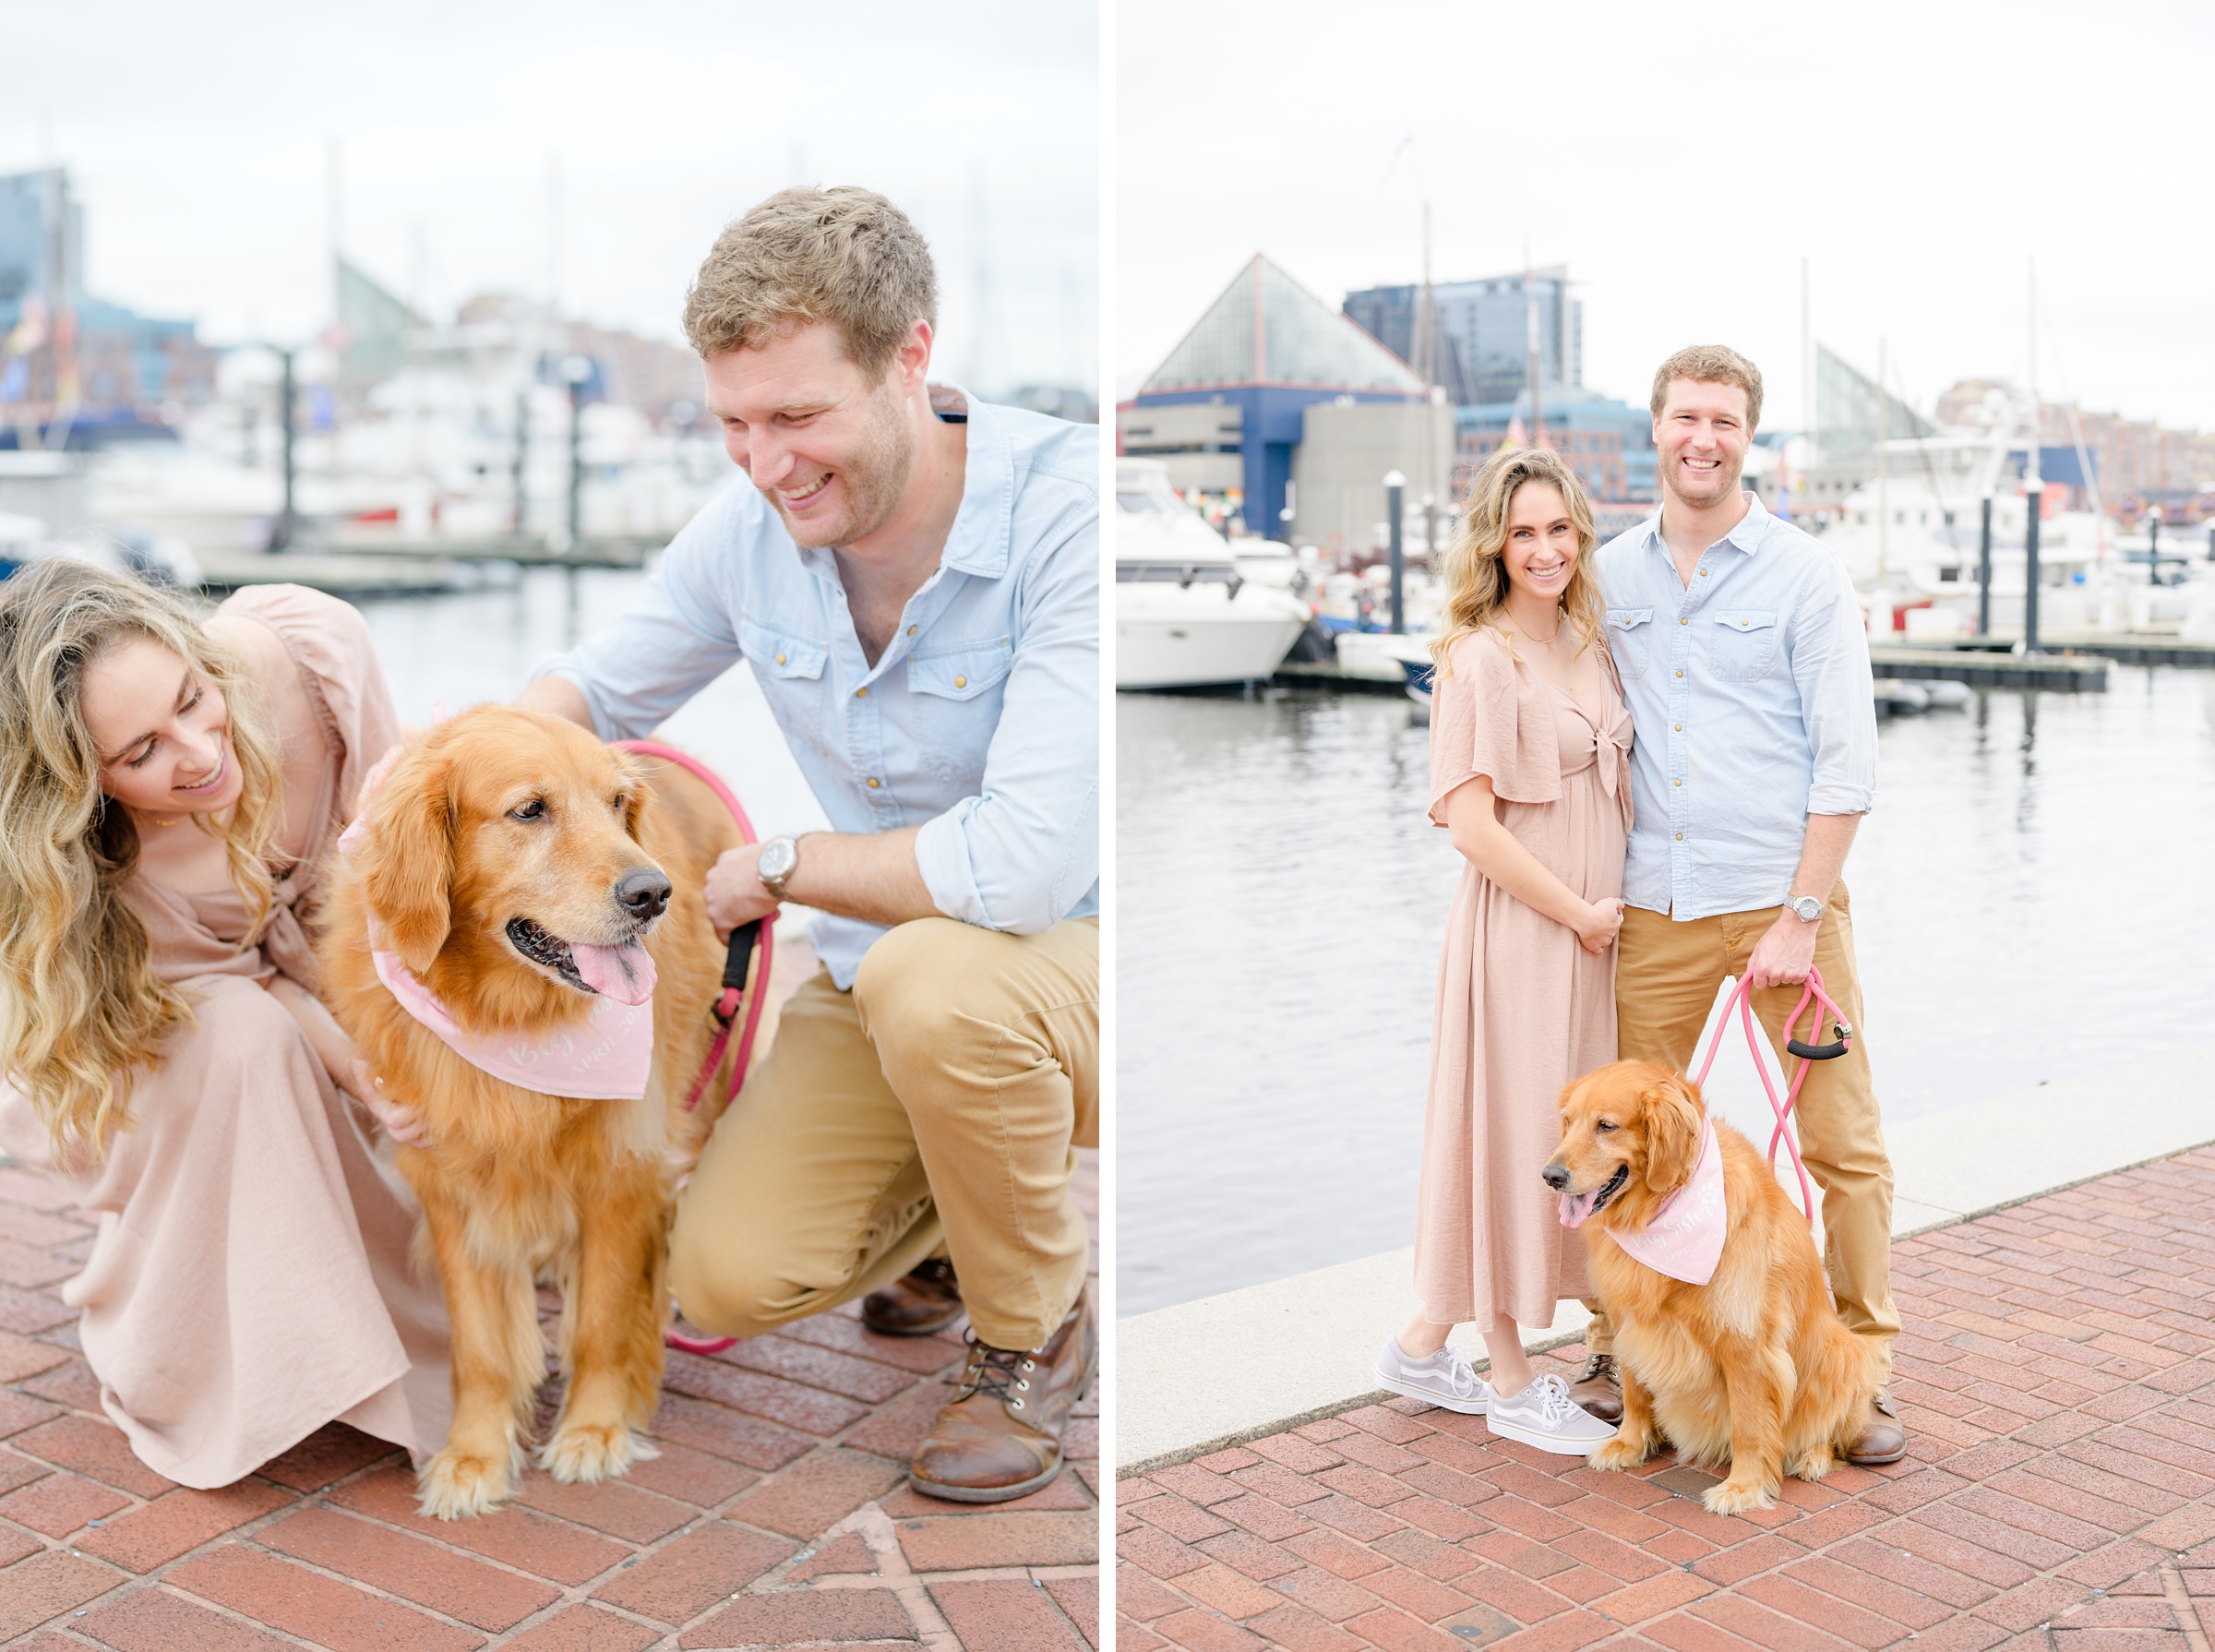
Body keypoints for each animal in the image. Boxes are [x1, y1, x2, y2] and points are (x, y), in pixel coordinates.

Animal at [321, 700, 739, 1514]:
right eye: (530, 810)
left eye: (616, 804)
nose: (653, 894)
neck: (510, 1019)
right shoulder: (450, 1184)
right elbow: (479, 1348)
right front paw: (472, 1457)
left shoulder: (622, 1170)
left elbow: (602, 1321)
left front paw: (596, 1432)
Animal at [1541, 1054, 1886, 1505]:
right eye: (1568, 1121)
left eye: (1606, 1126)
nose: (1550, 1175)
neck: (1661, 1206)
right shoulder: (1629, 1320)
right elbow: (1634, 1392)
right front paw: (1629, 1446)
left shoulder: (1745, 1340)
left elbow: (1749, 1423)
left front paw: (1744, 1487)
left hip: (1845, 1350)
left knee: (1831, 1425)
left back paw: (1813, 1455)